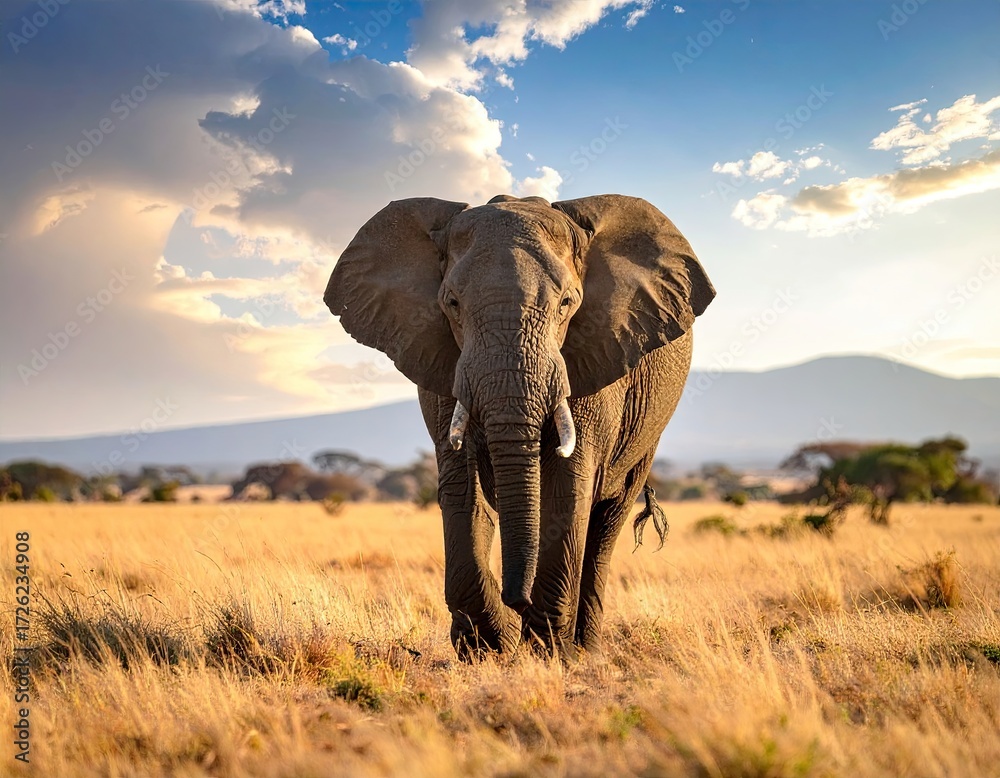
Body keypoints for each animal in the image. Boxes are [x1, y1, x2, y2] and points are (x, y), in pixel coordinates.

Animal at [324, 194, 715, 660]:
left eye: (567, 303)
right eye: (451, 303)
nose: (517, 599)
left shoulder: (594, 354)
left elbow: (568, 484)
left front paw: (547, 652)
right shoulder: (442, 363)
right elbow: (462, 486)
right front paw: (491, 647)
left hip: (648, 433)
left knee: (607, 523)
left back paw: (585, 649)